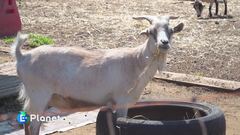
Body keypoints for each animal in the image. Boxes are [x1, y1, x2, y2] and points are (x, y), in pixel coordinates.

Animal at [11, 15, 184, 134]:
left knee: (27, 122)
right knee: (34, 126)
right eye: (150, 32)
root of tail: (22, 56)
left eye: (171, 31)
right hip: (39, 95)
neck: (136, 60)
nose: (164, 43)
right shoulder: (122, 101)